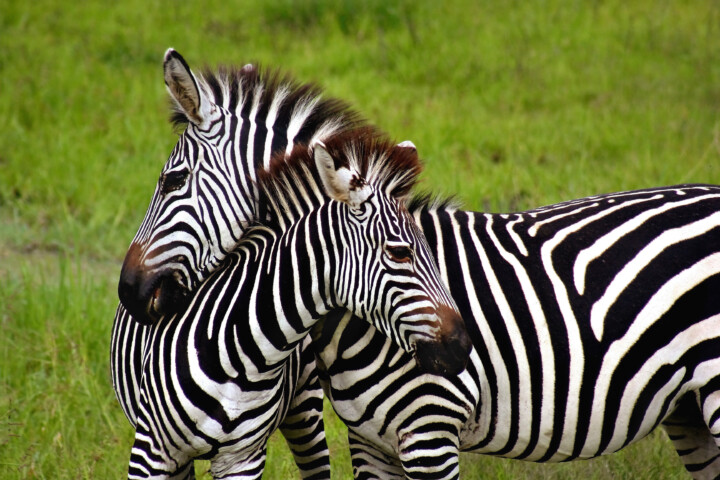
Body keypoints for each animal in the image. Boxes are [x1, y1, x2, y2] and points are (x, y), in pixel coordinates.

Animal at [127, 129, 471, 479]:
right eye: (399, 253)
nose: (462, 345)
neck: (238, 353)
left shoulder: (243, 458)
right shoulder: (150, 450)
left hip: (305, 411)